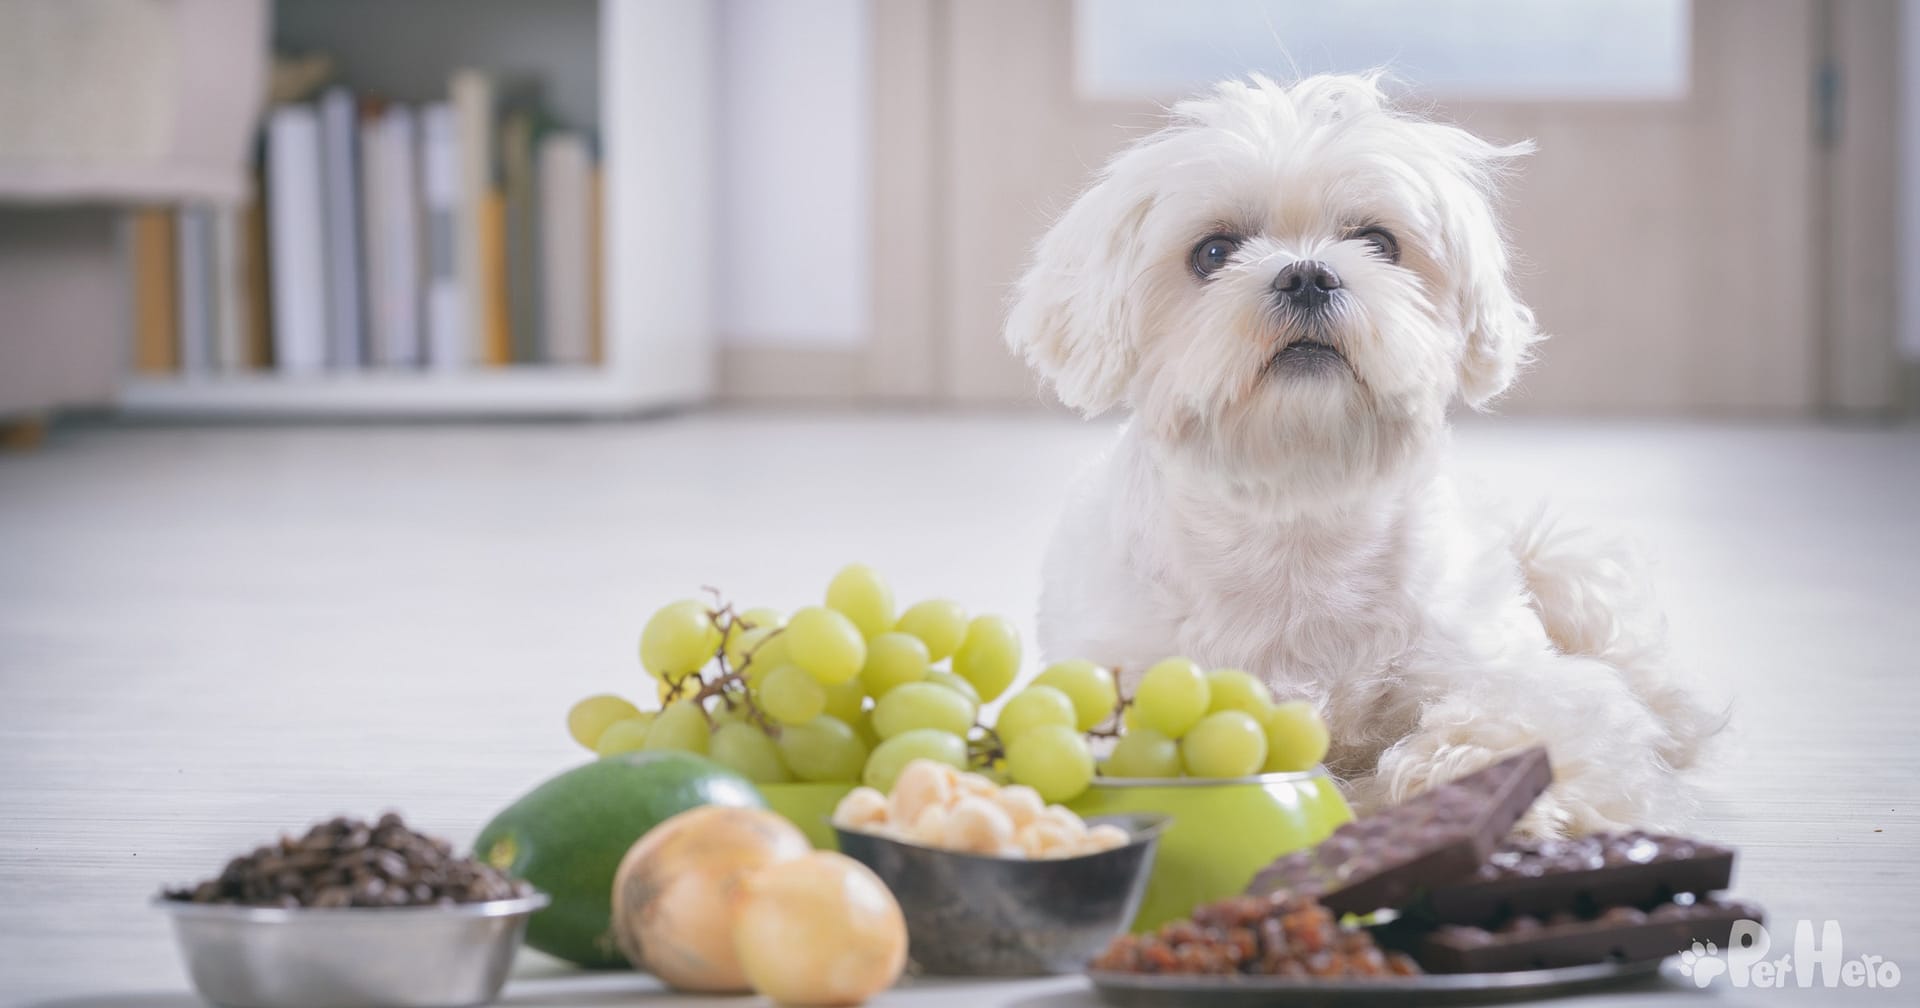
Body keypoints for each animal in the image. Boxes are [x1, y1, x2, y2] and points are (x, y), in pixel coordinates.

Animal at [1013, 74, 1720, 837]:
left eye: (1379, 241)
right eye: (1213, 252)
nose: (1306, 275)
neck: (1300, 509)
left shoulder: (1506, 669)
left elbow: (1530, 720)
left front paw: (1463, 781)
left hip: (1560, 567)